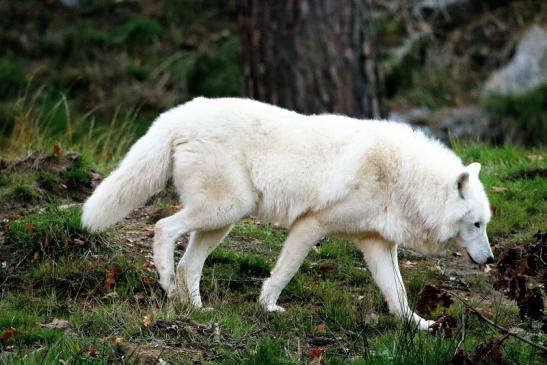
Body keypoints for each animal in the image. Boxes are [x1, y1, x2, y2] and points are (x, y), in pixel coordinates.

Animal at [82, 96, 496, 330]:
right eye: (476, 224)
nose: (491, 259)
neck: (401, 177)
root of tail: (176, 115)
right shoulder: (311, 224)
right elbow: (284, 272)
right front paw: (267, 307)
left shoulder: (376, 243)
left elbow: (398, 294)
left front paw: (420, 326)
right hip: (224, 209)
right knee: (163, 228)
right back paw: (168, 284)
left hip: (223, 220)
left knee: (190, 265)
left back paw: (198, 310)